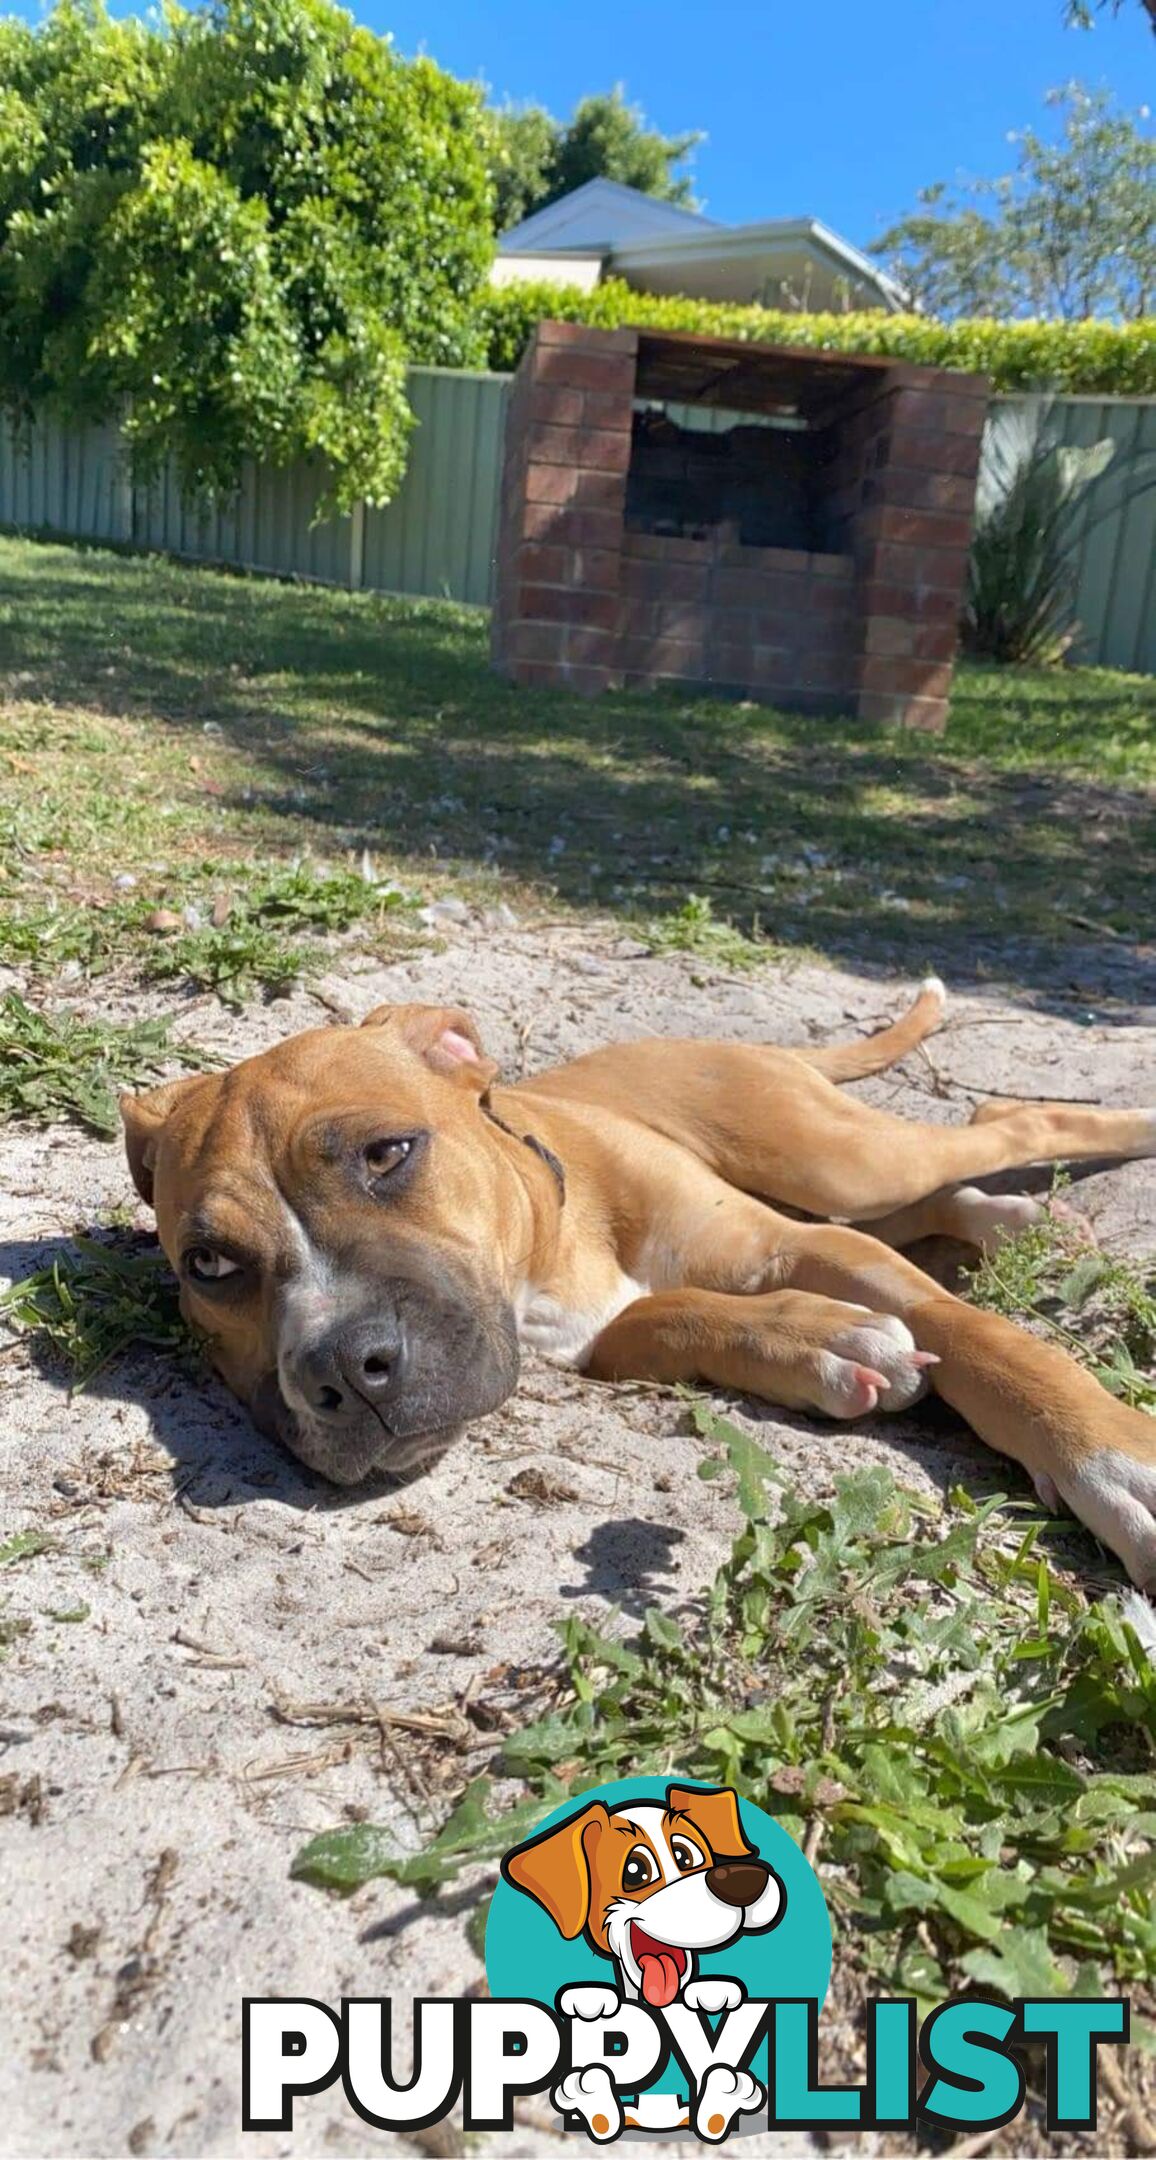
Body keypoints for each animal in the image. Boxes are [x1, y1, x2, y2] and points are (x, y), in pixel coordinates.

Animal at [119, 984, 1156, 1589]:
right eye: (209, 1265)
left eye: (387, 1154)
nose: (341, 1370)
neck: (546, 1246)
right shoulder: (608, 1335)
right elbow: (691, 1316)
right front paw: (822, 1340)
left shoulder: (783, 1240)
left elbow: (979, 1335)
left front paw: (1110, 1456)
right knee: (944, 1187)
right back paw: (1012, 1221)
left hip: (839, 1165)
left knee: (1010, 1123)